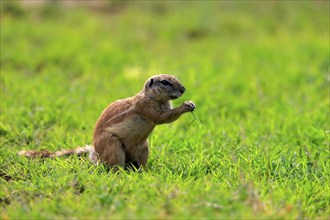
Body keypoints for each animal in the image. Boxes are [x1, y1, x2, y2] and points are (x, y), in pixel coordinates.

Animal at [18, 75, 196, 169]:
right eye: (165, 82)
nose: (184, 89)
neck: (156, 98)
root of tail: (97, 157)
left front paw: (191, 103)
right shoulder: (145, 106)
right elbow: (161, 118)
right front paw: (185, 106)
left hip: (143, 147)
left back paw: (143, 171)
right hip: (112, 144)